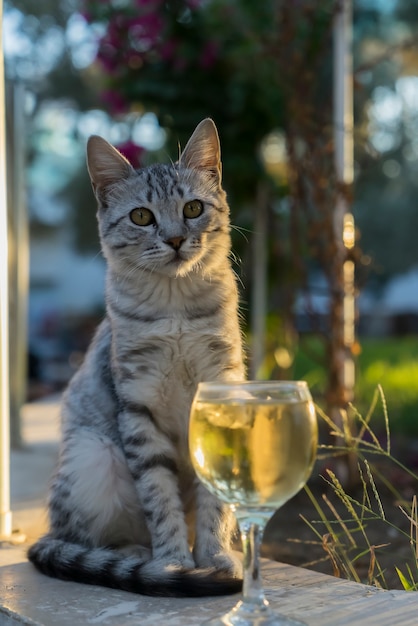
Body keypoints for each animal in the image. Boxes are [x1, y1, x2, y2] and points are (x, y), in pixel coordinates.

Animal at [27, 118, 247, 596]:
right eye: (141, 216)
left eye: (193, 208)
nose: (176, 239)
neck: (176, 306)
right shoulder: (138, 406)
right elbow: (159, 498)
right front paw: (174, 563)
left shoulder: (219, 395)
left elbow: (214, 502)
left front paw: (216, 556)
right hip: (93, 455)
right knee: (82, 539)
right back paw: (136, 558)